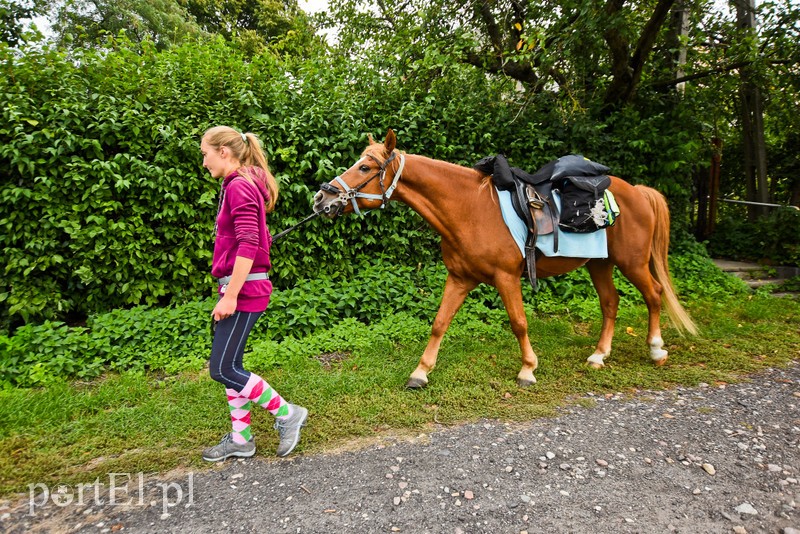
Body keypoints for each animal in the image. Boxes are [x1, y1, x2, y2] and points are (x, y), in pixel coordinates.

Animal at [310, 130, 692, 390]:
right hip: (600, 263)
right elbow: (439, 323)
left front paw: (527, 370)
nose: (320, 198)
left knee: (654, 294)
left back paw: (656, 350)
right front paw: (420, 372)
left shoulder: (506, 278)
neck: (469, 208)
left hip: (632, 262)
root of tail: (637, 191)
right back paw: (599, 355)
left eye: (364, 167)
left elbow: (518, 322)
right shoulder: (460, 278)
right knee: (611, 302)